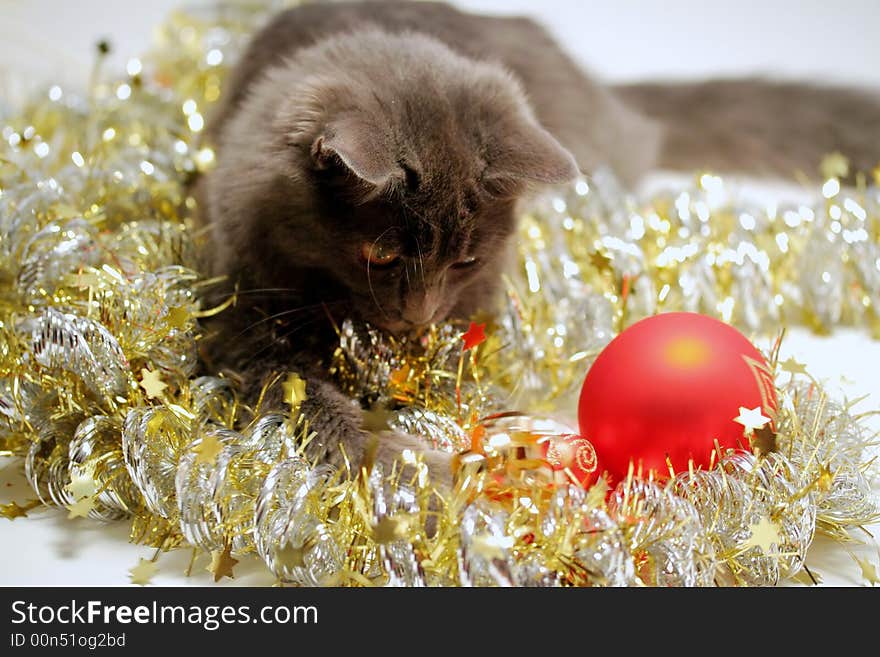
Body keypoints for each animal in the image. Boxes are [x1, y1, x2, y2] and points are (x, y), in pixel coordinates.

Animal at [201, 0, 880, 486]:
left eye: (466, 260)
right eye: (383, 255)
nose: (417, 317)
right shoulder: (241, 321)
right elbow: (313, 407)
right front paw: (427, 481)